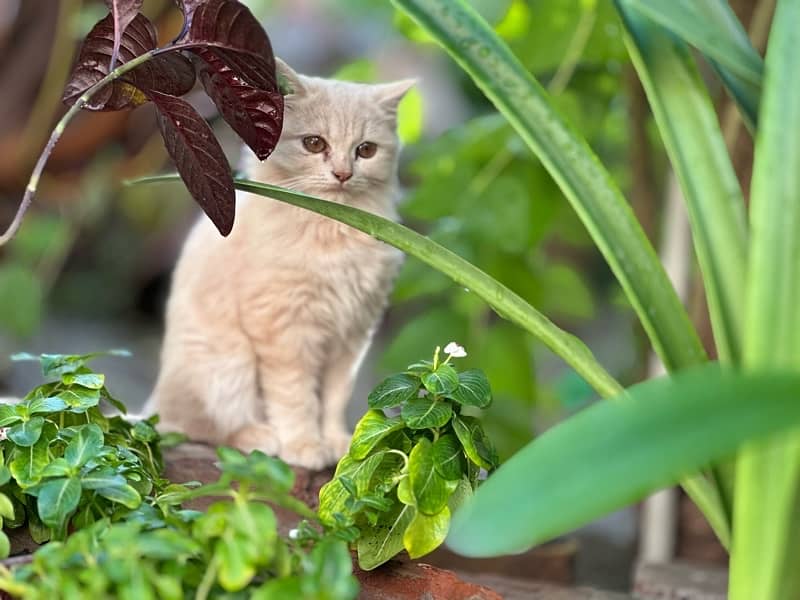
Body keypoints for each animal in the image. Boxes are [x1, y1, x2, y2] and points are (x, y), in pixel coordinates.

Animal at [145, 59, 412, 468]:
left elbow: (333, 399)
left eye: (365, 150)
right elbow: (295, 397)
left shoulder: (351, 336)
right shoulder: (283, 330)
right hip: (228, 363)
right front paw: (304, 446)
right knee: (193, 427)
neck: (332, 228)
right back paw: (259, 436)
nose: (343, 174)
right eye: (314, 144)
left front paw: (338, 442)